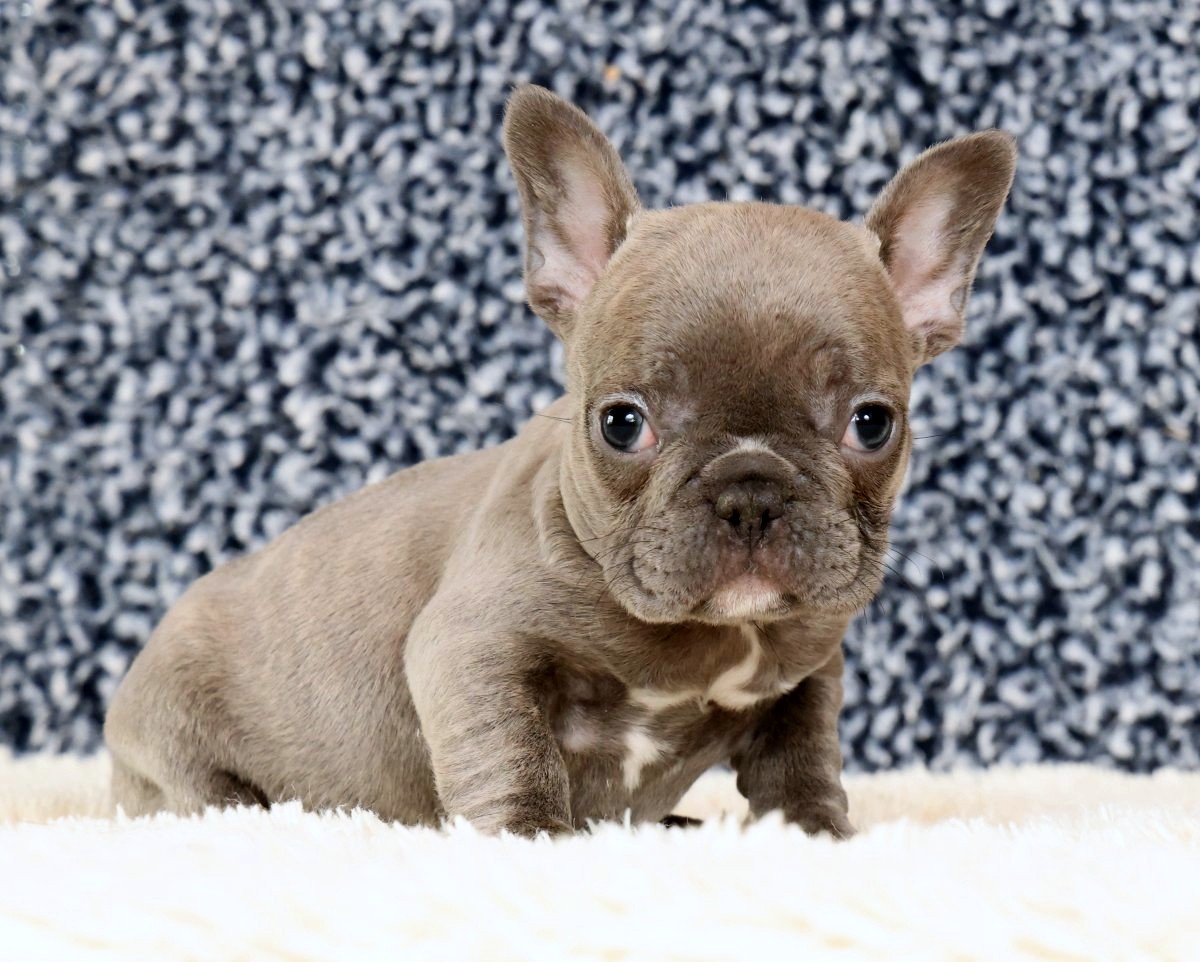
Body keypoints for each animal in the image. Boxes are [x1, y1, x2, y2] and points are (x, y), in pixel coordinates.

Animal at [105, 85, 1015, 837]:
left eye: (872, 423)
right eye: (622, 424)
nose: (750, 488)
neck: (708, 633)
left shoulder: (806, 674)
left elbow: (802, 762)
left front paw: (817, 833)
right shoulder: (473, 647)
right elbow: (509, 750)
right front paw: (530, 836)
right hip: (179, 748)